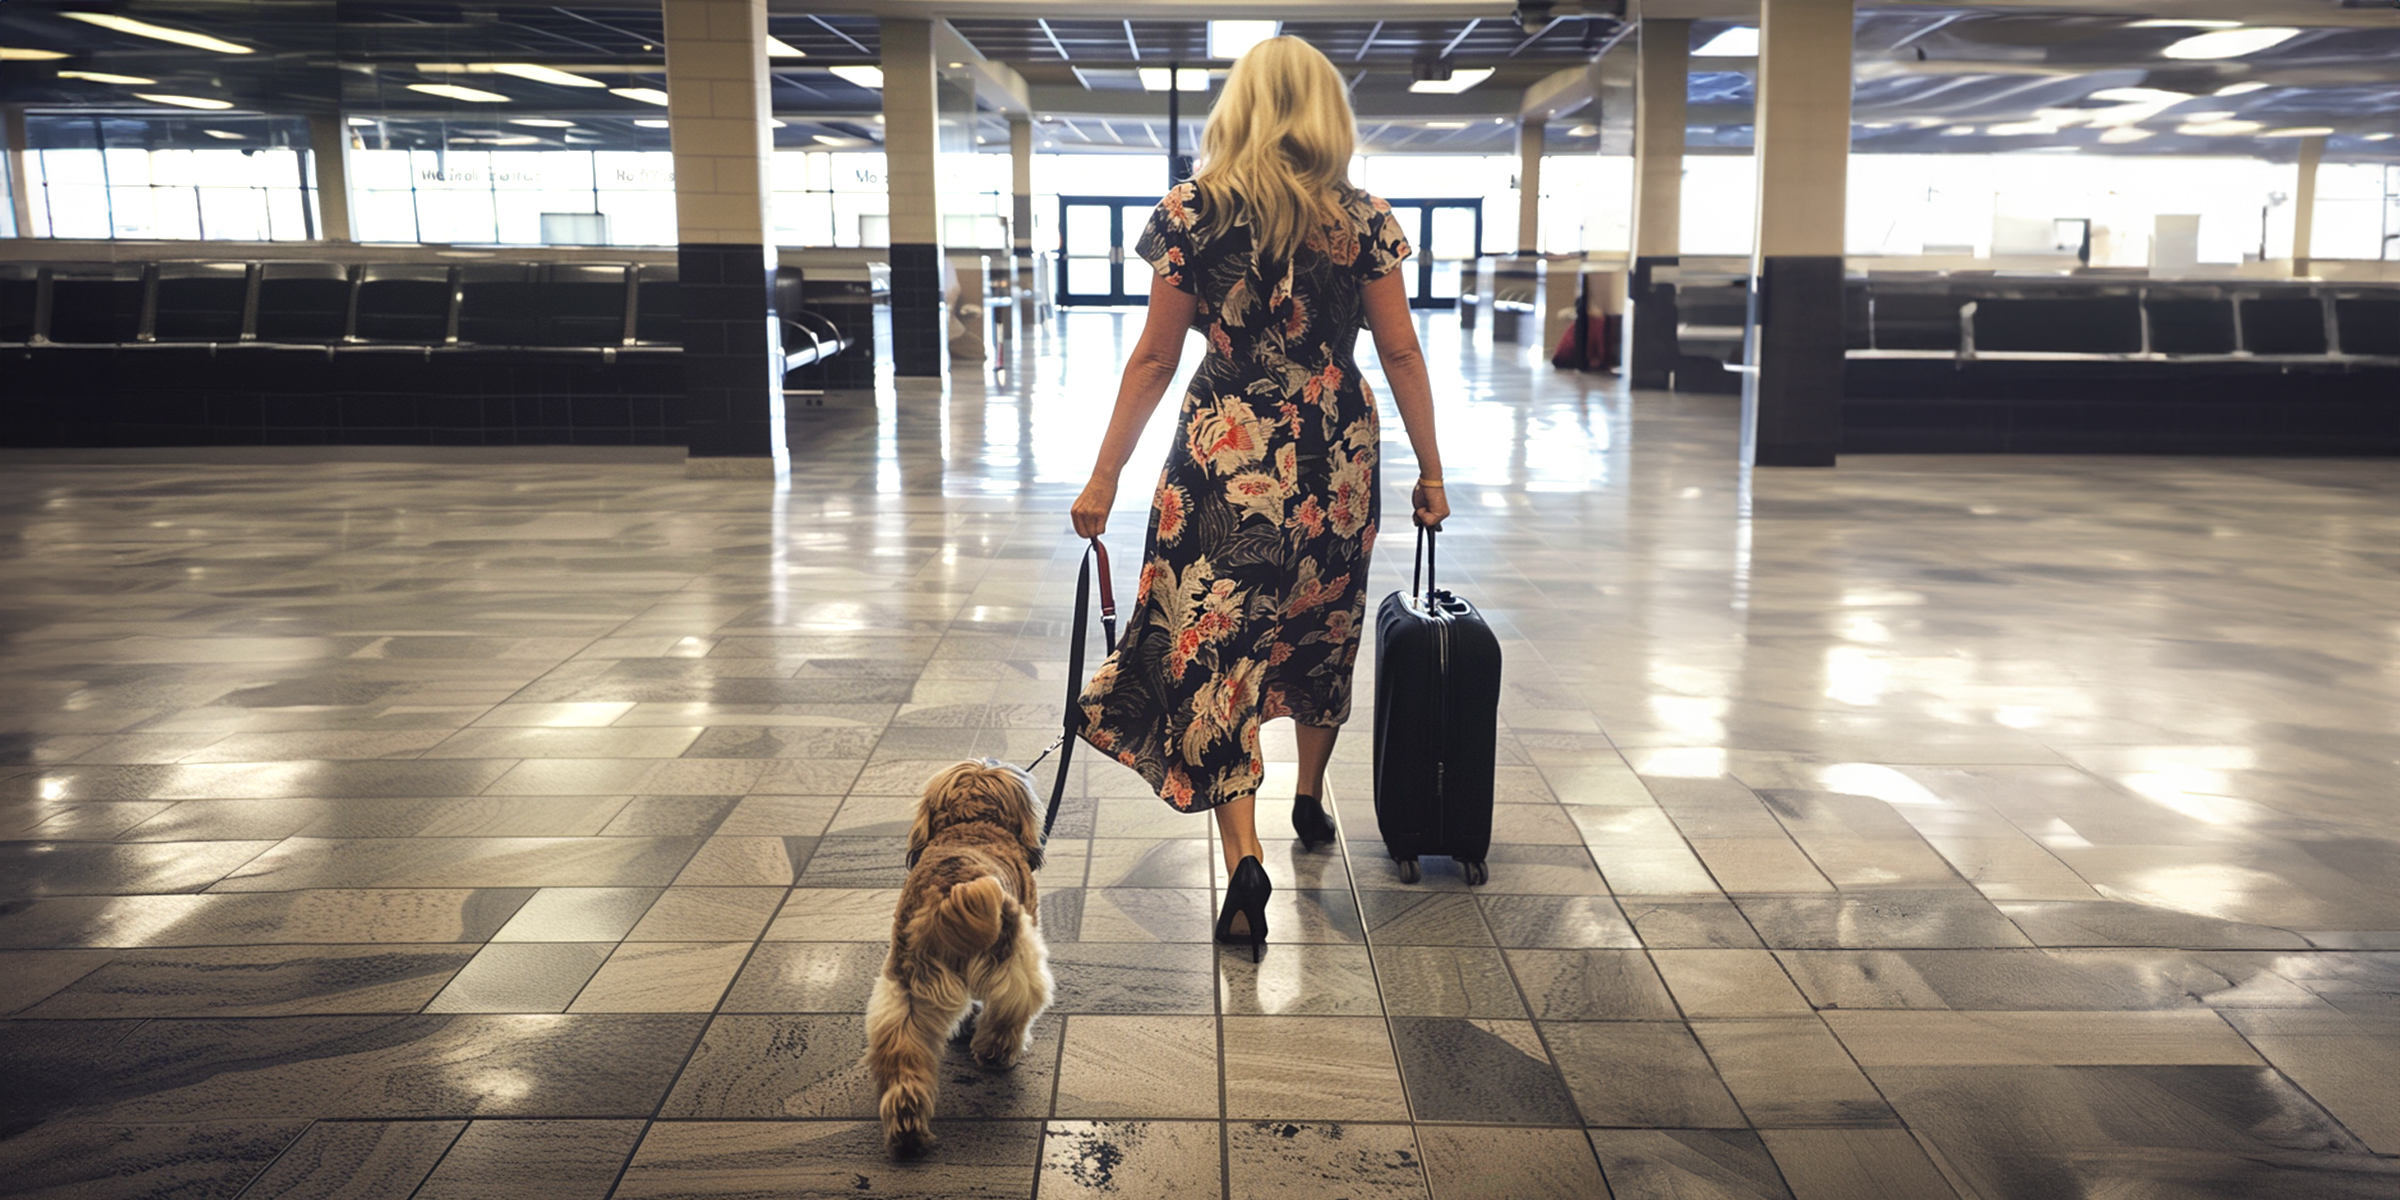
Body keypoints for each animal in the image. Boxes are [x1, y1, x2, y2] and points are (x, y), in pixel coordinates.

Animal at [864, 758, 1051, 1152]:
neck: (972, 827)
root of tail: (950, 893)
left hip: (905, 991)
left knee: (902, 1053)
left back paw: (907, 1123)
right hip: (1016, 961)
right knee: (1010, 1013)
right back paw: (997, 1052)